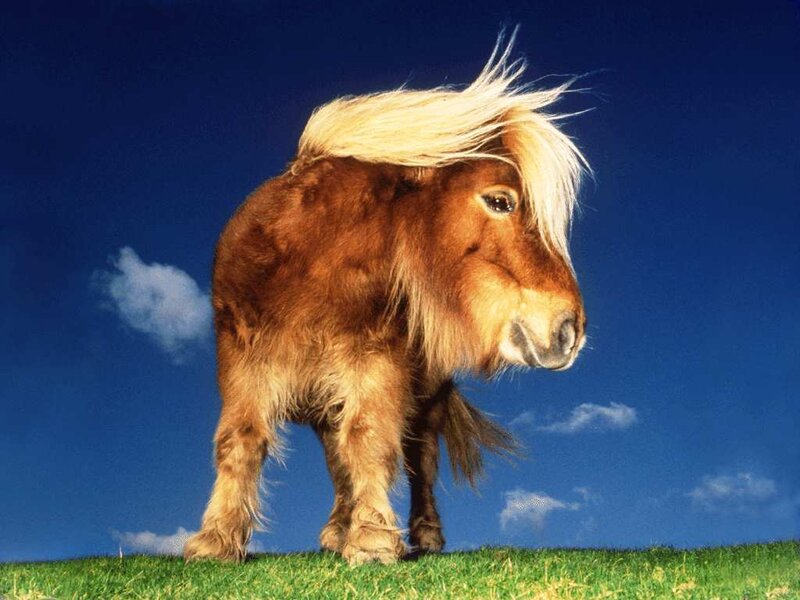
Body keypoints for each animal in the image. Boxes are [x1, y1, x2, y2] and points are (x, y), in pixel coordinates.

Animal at [184, 33, 589, 566]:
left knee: (420, 458)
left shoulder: (375, 361)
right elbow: (239, 441)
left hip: (425, 396)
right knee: (337, 458)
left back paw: (424, 534)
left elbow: (370, 439)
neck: (307, 265)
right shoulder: (241, 361)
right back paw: (336, 529)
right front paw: (217, 540)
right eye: (501, 201)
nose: (570, 329)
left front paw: (374, 539)